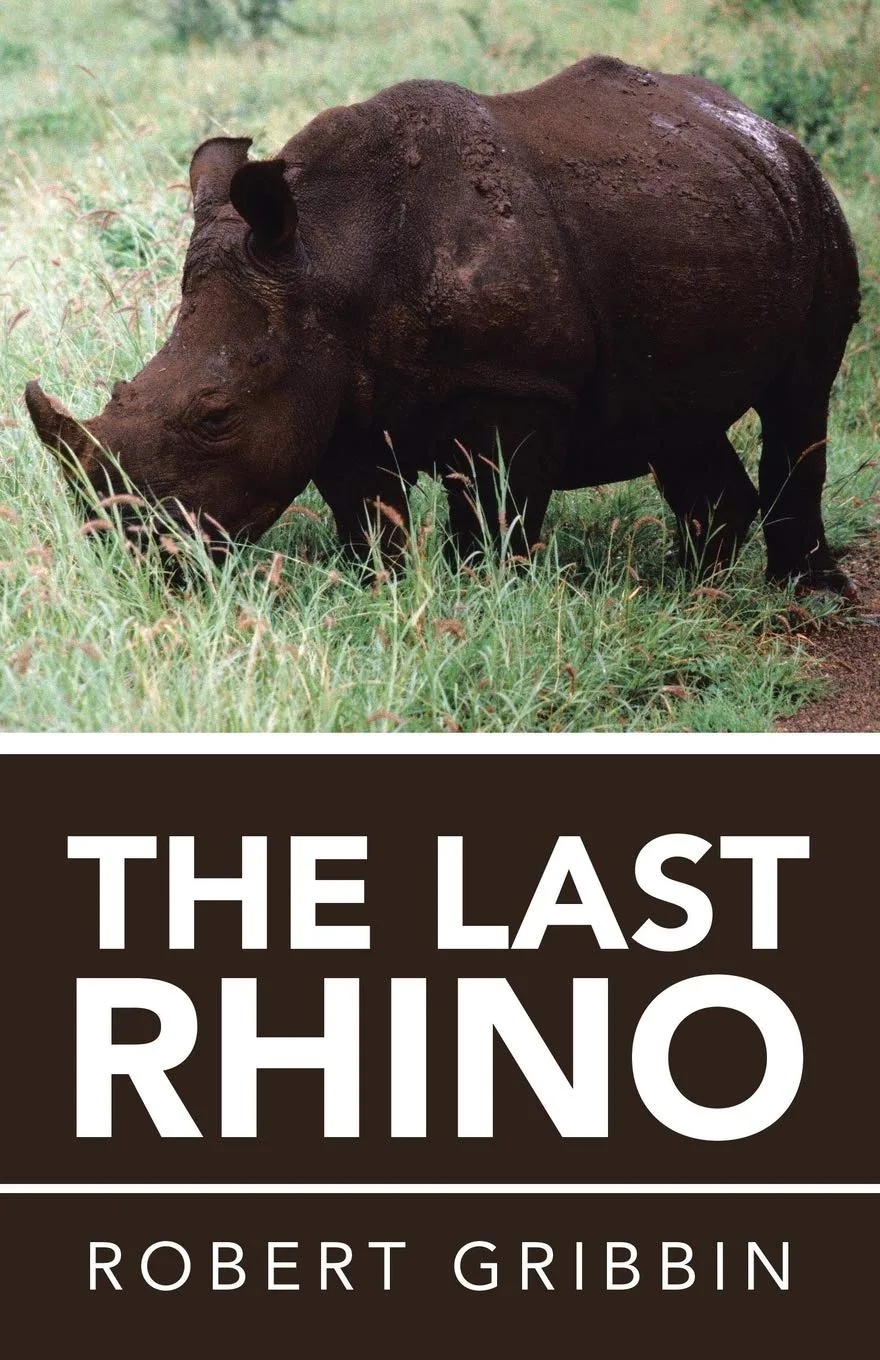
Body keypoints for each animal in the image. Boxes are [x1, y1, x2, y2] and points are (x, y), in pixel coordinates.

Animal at [25, 55, 861, 591]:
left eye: (215, 416)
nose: (134, 558)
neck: (331, 254)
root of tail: (762, 126)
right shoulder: (330, 387)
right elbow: (365, 515)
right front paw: (383, 594)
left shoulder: (519, 387)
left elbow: (494, 514)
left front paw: (485, 599)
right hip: (711, 211)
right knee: (677, 418)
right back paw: (686, 591)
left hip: (814, 208)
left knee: (800, 397)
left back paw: (803, 596)